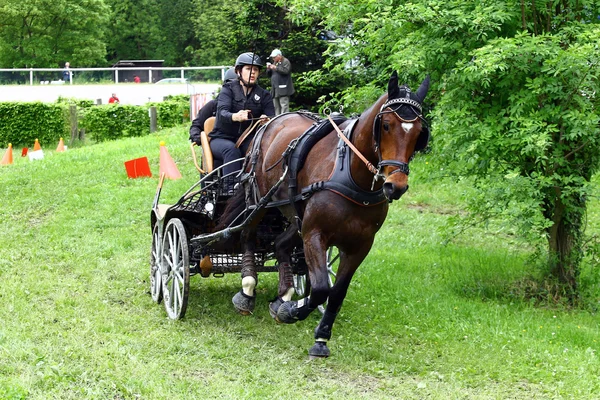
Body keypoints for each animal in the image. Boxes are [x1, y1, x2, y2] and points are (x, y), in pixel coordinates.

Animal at [220, 71, 432, 356]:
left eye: (419, 132)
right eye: (386, 125)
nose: (395, 185)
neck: (352, 175)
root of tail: (269, 122)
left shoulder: (360, 245)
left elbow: (337, 292)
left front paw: (320, 336)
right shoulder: (314, 234)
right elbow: (321, 288)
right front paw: (292, 311)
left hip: (293, 212)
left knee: (281, 244)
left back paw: (283, 294)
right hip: (258, 203)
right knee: (247, 236)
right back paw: (248, 290)